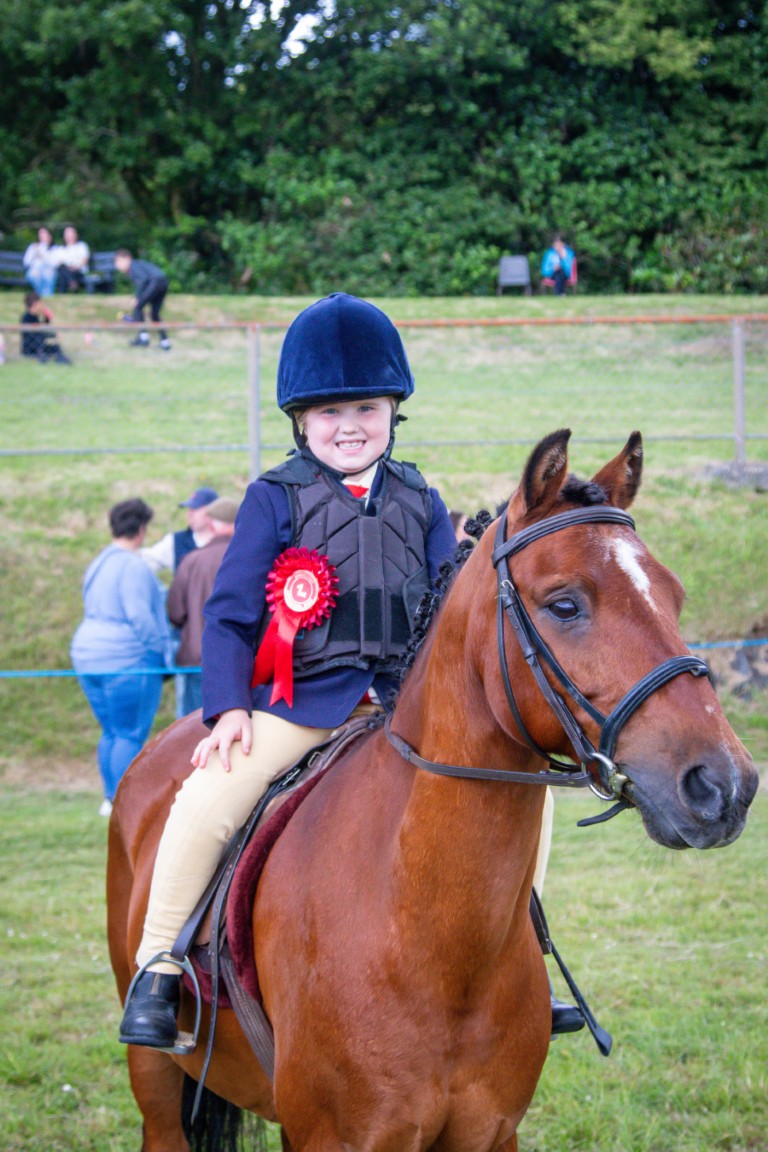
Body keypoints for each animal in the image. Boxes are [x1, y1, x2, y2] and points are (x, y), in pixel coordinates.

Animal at [107, 429, 758, 1152]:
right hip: (156, 1083)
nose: (724, 784)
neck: (430, 938)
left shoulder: (489, 1133)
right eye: (565, 604)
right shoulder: (335, 1136)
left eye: (673, 596)